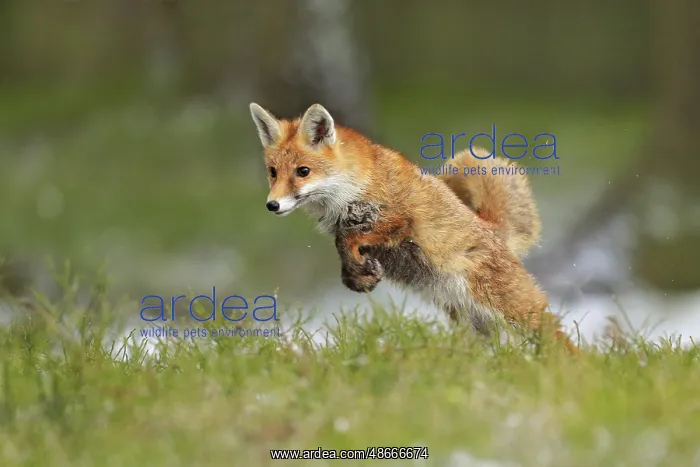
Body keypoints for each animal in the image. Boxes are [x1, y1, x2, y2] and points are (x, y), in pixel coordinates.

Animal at [249, 102, 576, 352]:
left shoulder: (398, 220)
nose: (272, 205)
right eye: (273, 173)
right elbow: (343, 247)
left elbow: (347, 238)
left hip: (511, 308)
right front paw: (358, 277)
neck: (352, 190)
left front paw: (360, 270)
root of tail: (491, 227)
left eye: (303, 171)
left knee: (558, 337)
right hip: (474, 321)